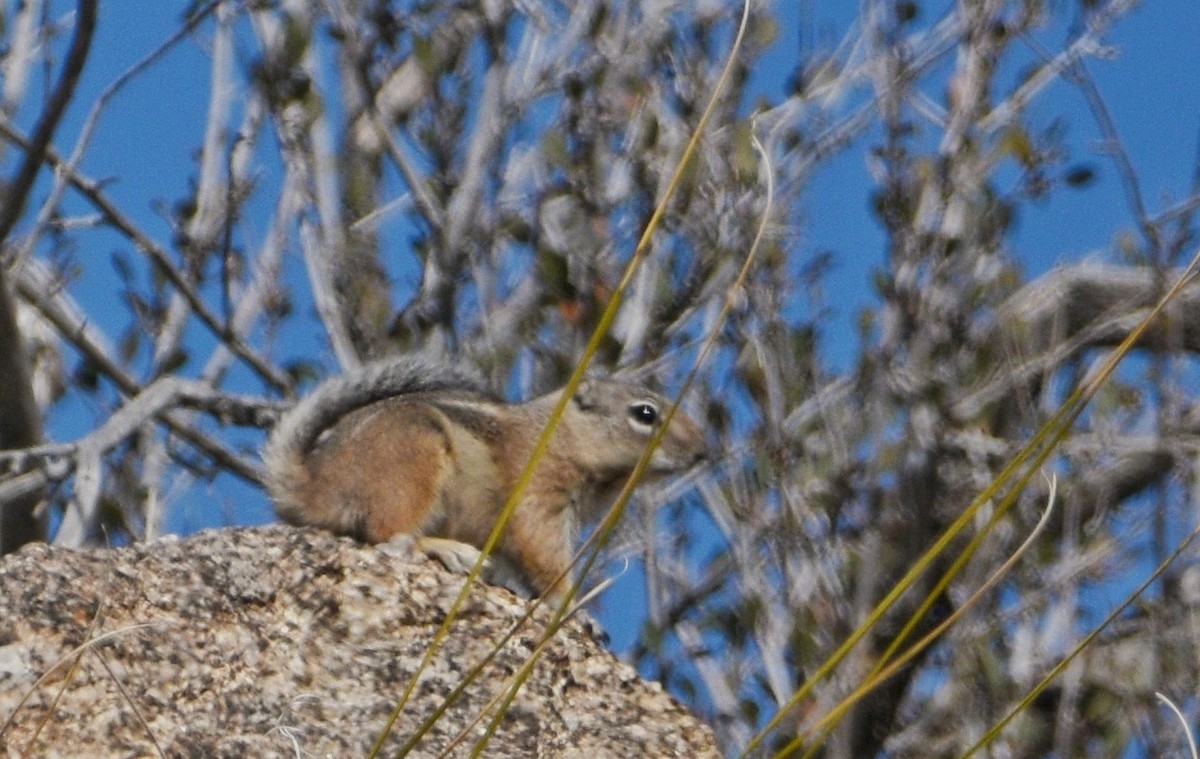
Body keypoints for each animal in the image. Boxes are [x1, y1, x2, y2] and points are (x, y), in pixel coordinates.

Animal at [262, 356, 707, 601]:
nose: (704, 451)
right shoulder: (540, 497)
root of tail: (314, 486)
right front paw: (572, 607)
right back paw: (455, 551)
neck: (560, 435)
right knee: (390, 536)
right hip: (414, 461)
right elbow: (543, 556)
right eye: (645, 413)